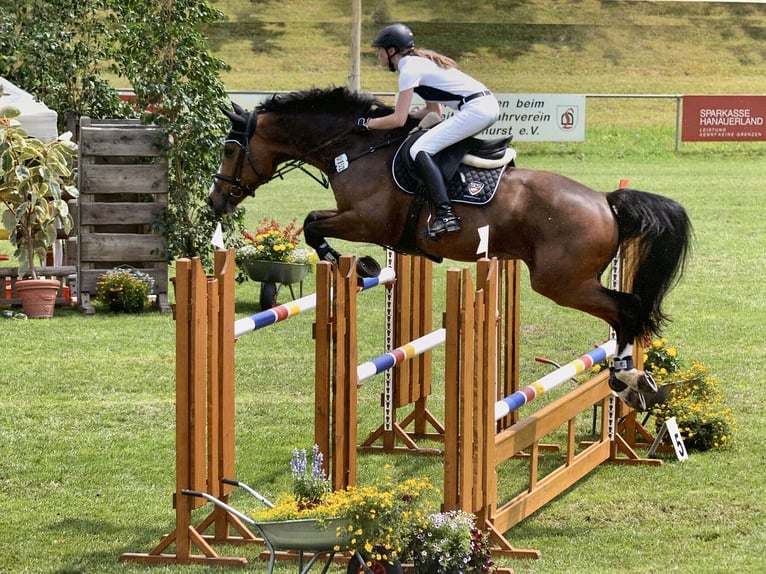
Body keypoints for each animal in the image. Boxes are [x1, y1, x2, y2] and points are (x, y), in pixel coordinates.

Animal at [210, 85, 696, 412]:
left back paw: (627, 378)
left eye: (230, 150)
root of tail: (606, 202)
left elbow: (312, 225)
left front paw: (361, 265)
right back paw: (634, 380)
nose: (216, 200)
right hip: (570, 280)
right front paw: (365, 265)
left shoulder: (366, 219)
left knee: (627, 308)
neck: (356, 148)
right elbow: (314, 223)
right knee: (626, 312)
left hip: (561, 283)